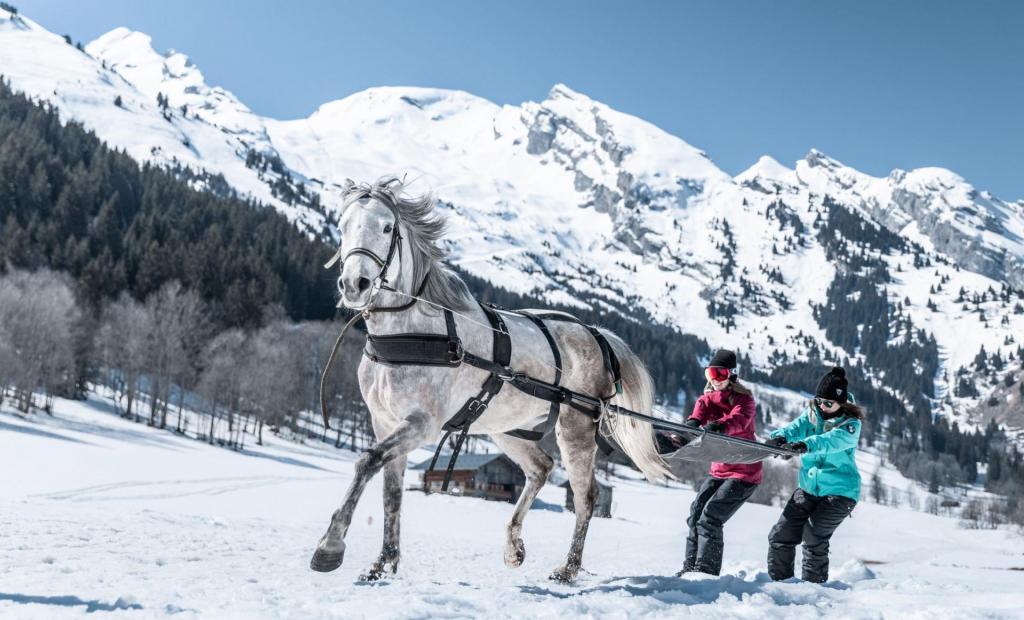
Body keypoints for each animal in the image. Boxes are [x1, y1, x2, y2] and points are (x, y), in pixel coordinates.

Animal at [311, 176, 671, 582]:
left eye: (387, 227)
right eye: (343, 226)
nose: (354, 284)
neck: (412, 332)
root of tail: (597, 335)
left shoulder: (422, 423)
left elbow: (365, 462)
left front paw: (330, 546)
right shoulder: (383, 421)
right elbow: (391, 491)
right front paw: (383, 563)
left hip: (575, 428)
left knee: (586, 495)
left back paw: (568, 568)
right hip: (507, 428)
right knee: (540, 468)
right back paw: (514, 545)